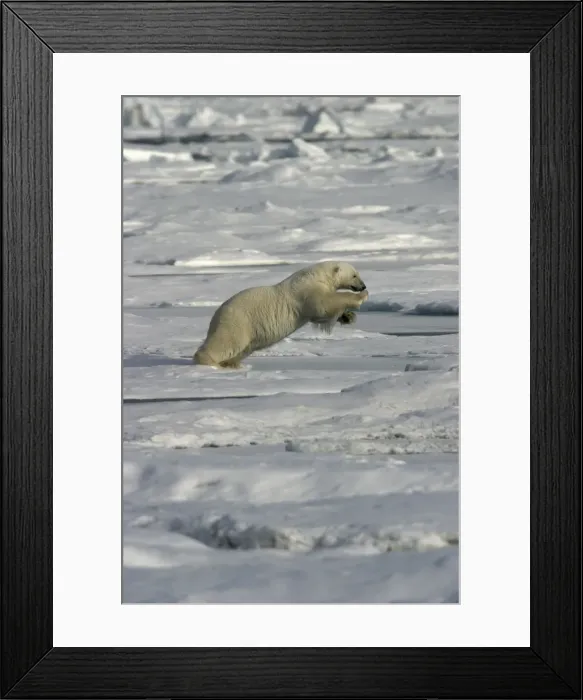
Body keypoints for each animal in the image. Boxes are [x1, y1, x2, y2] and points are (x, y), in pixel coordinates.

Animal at [193, 261, 368, 369]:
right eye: (354, 275)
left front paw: (348, 317)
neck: (317, 275)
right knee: (226, 342)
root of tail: (216, 315)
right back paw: (208, 361)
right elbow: (324, 304)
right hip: (238, 322)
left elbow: (320, 315)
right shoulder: (307, 291)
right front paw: (361, 297)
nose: (363, 286)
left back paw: (232, 364)